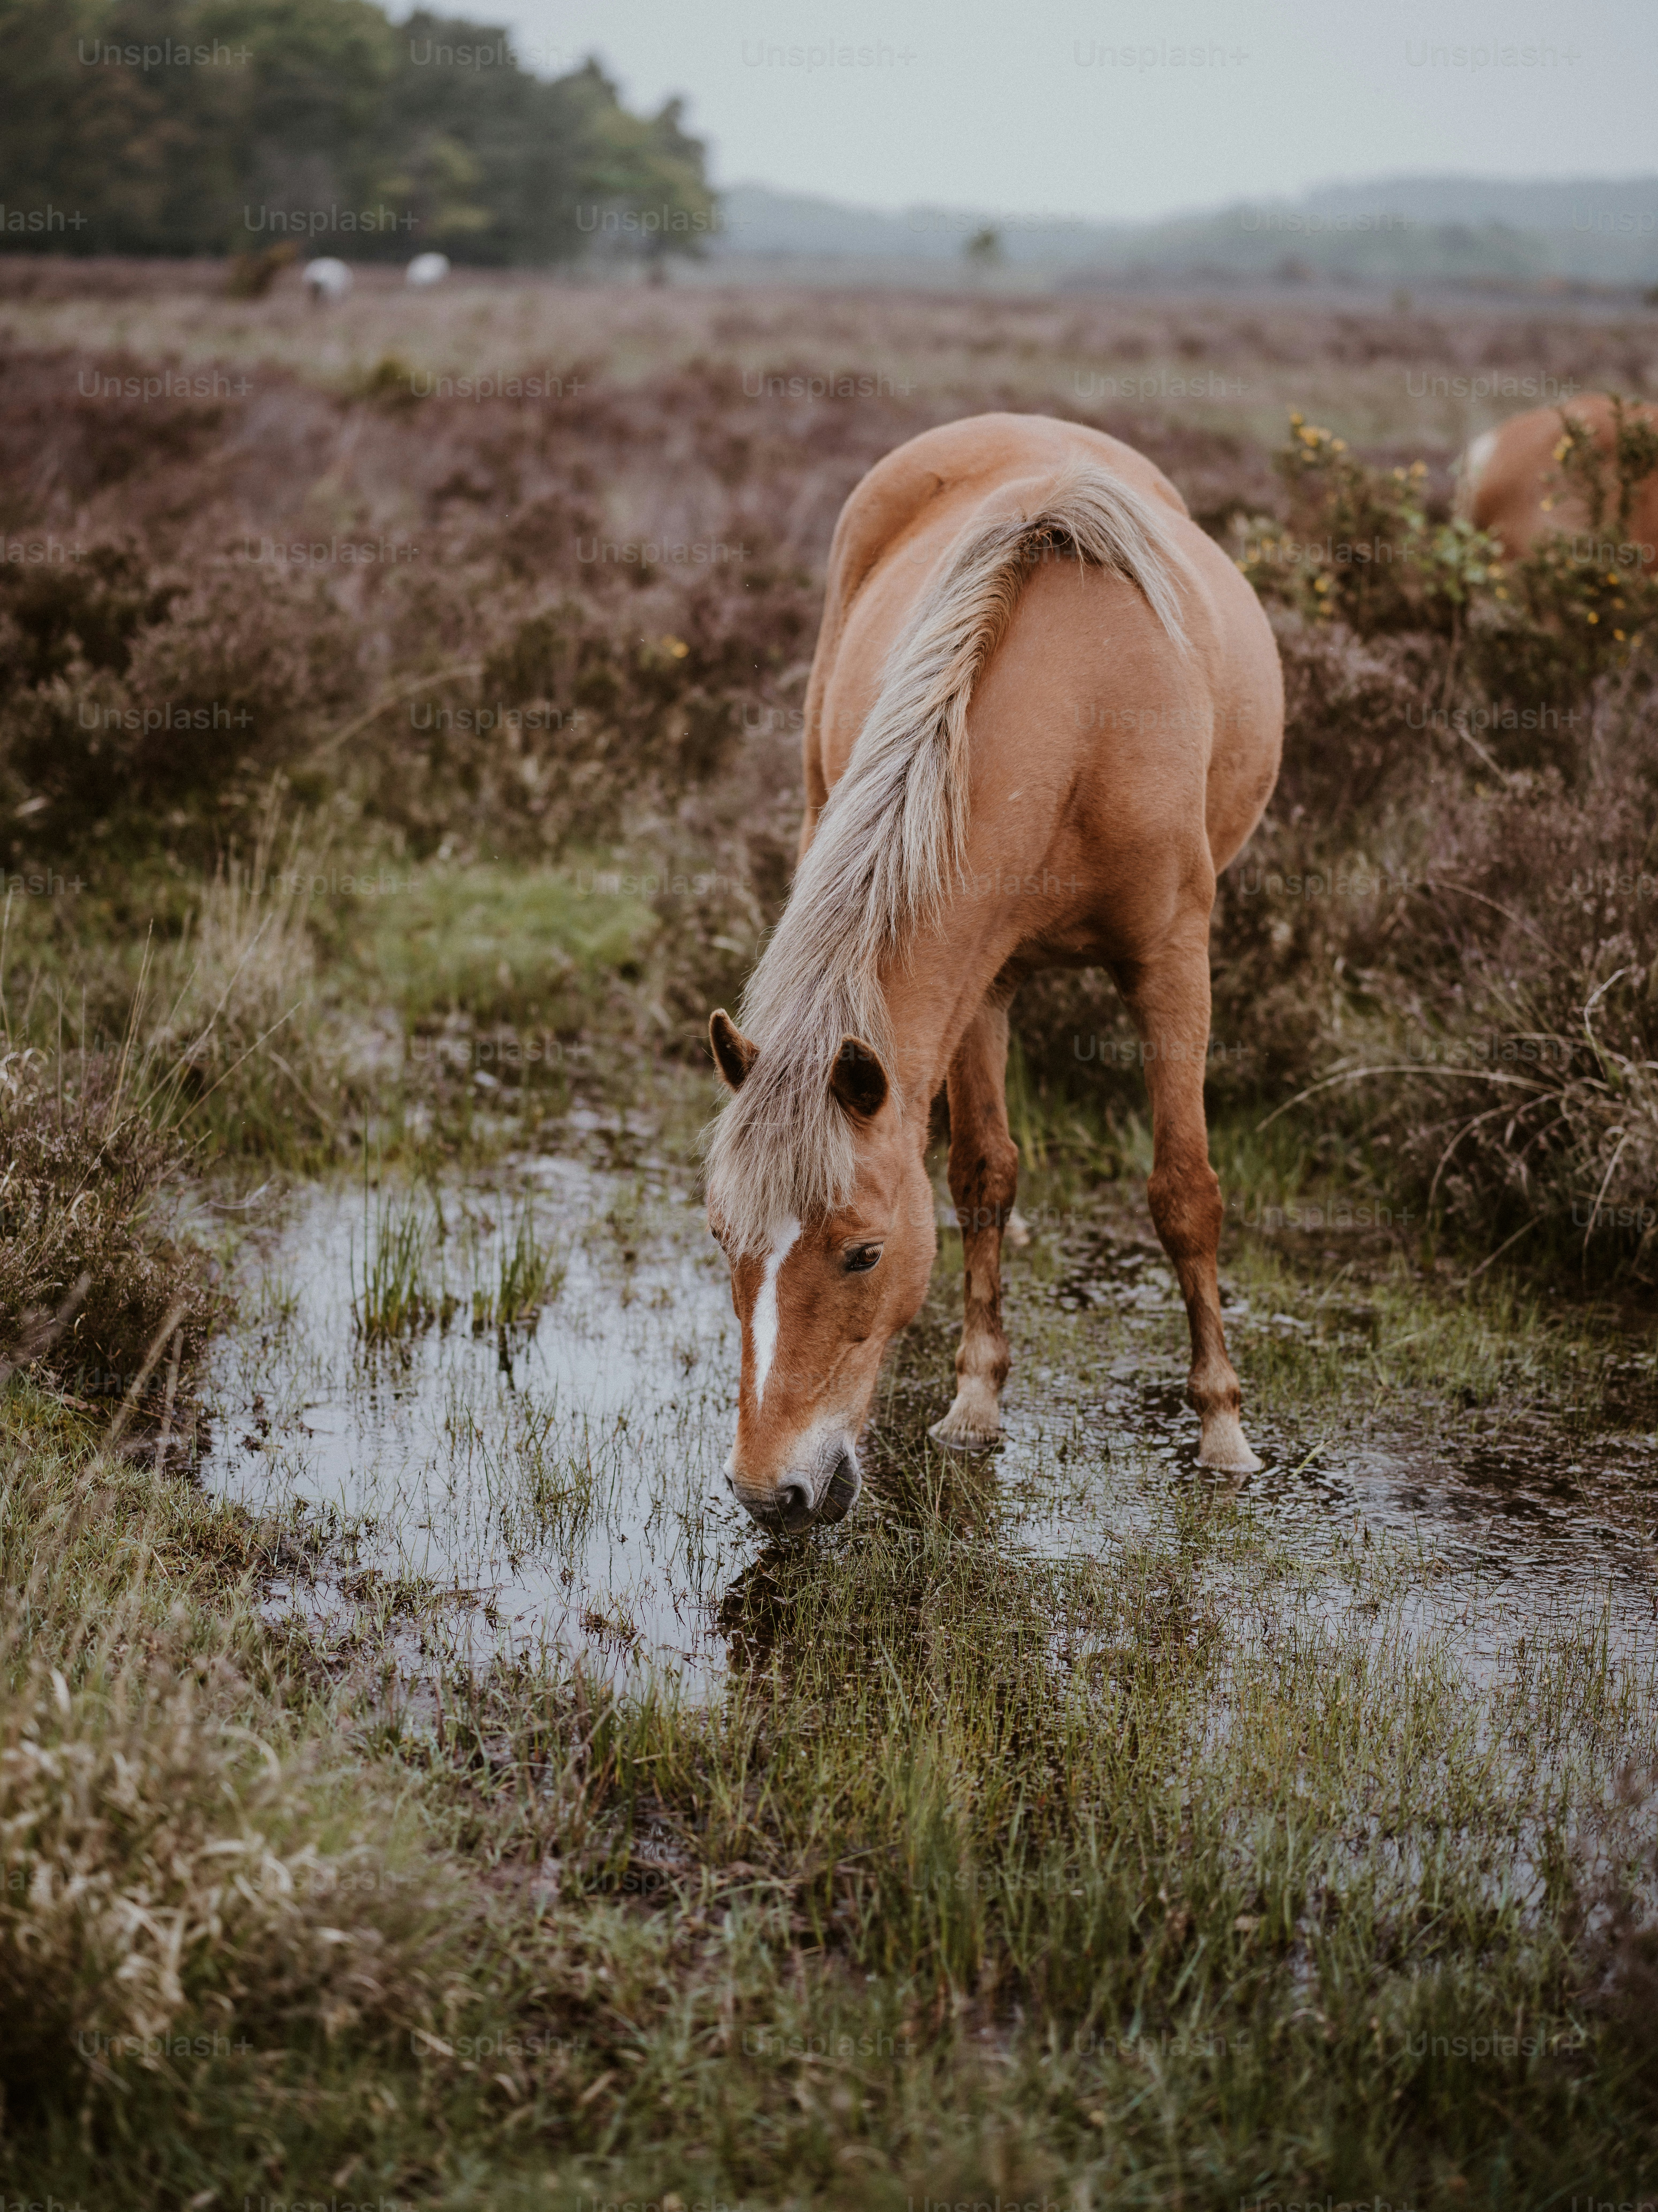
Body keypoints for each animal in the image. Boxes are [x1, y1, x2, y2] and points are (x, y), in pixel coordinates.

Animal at [704, 412, 1283, 1534]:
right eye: (722, 1239)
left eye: (863, 1253)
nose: (769, 1493)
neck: (1086, 718)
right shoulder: (982, 979)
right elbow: (981, 1176)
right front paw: (974, 1402)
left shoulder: (1174, 965)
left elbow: (1184, 1192)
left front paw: (1223, 1431)